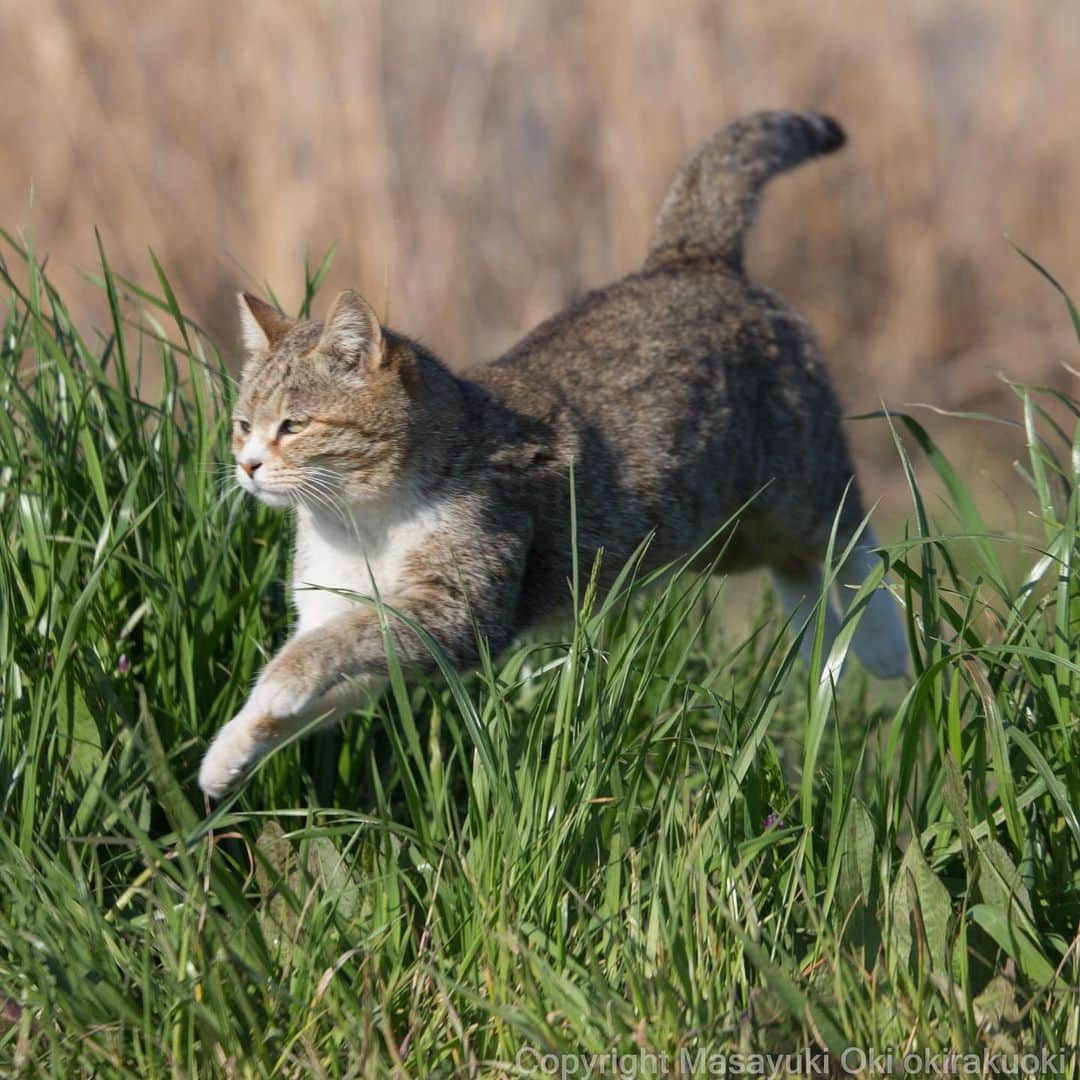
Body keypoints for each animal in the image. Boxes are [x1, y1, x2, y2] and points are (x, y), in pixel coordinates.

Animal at [198, 109, 907, 799]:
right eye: (241, 425)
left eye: (293, 425)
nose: (248, 465)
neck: (359, 519)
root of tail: (691, 259)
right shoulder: (352, 613)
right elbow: (318, 681)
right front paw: (231, 754)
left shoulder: (455, 609)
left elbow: (324, 646)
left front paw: (277, 687)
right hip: (720, 536)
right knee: (798, 569)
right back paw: (821, 653)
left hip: (797, 477)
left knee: (851, 535)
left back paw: (881, 644)